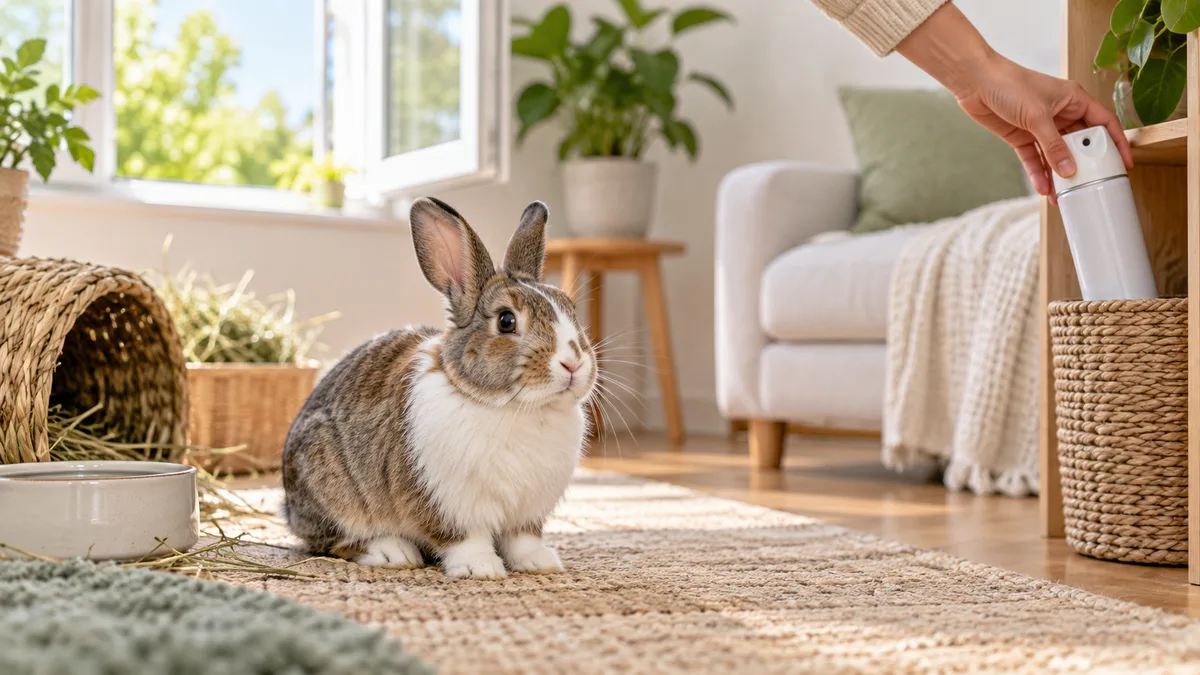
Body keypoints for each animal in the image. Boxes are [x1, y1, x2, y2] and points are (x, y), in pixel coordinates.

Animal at [281, 197, 596, 580]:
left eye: (570, 308)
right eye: (506, 321)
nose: (573, 364)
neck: (512, 406)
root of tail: (288, 508)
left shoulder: (526, 513)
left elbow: (523, 540)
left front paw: (540, 563)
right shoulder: (447, 504)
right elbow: (465, 539)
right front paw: (481, 568)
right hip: (332, 491)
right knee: (336, 540)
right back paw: (393, 552)